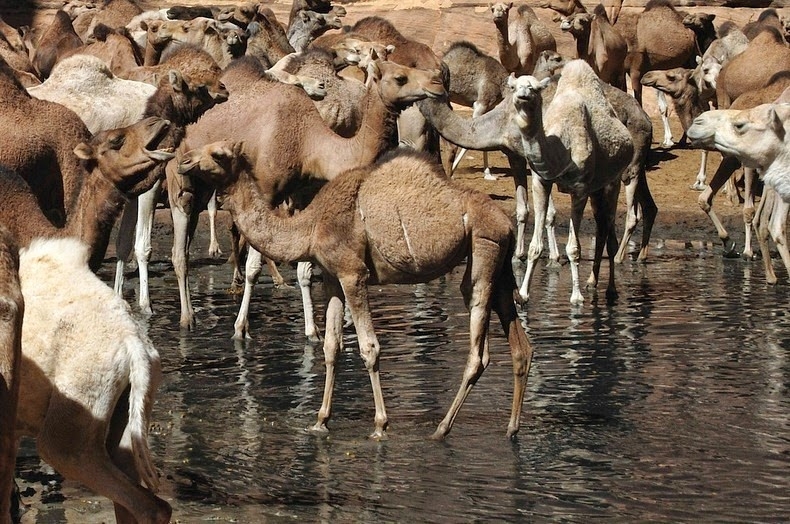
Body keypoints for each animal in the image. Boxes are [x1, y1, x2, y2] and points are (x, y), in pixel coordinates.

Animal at [180, 143, 540, 442]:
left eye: (218, 154)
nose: (183, 160)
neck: (311, 226)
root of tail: (506, 223)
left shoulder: (353, 273)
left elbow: (369, 348)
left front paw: (380, 425)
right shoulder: (332, 278)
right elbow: (330, 347)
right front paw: (320, 420)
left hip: (483, 249)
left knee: (478, 351)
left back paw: (441, 429)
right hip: (500, 267)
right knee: (521, 347)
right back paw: (511, 429)